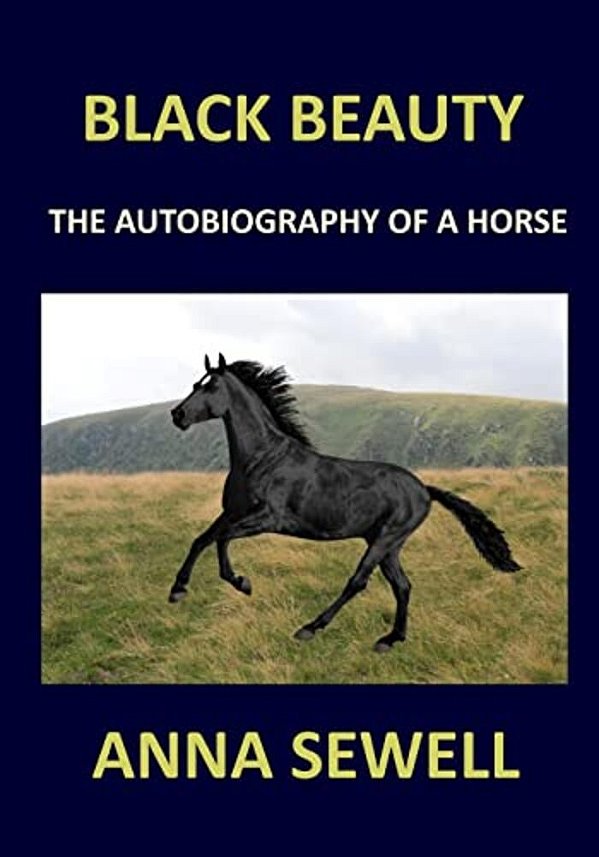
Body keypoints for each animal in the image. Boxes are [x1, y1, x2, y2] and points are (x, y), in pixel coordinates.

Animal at [168, 353, 521, 652]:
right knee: (403, 586)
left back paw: (310, 628)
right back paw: (391, 639)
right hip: (388, 545)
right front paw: (178, 590)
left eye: (211, 386)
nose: (177, 414)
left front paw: (243, 583)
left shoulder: (267, 518)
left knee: (358, 582)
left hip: (386, 539)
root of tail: (424, 489)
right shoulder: (232, 512)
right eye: (195, 384)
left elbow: (222, 540)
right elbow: (201, 540)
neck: (261, 458)